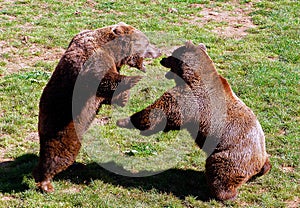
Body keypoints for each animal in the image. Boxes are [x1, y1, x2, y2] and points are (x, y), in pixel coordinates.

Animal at [32, 22, 162, 192]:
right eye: (147, 42)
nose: (158, 51)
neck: (114, 51)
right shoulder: (92, 61)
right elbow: (104, 79)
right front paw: (134, 80)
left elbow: (108, 94)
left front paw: (123, 97)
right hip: (62, 128)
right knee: (56, 154)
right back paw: (46, 183)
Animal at [118, 41, 272, 202]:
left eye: (171, 56)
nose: (162, 59)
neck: (190, 76)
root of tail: (259, 161)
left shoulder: (192, 99)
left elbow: (164, 110)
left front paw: (126, 120)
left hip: (232, 155)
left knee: (219, 171)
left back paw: (224, 194)